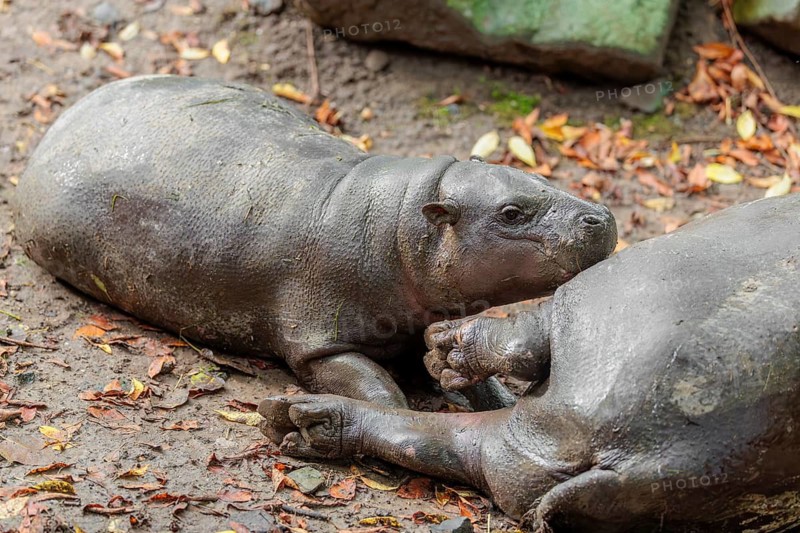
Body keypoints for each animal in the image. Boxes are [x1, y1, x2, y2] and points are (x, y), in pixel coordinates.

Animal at [14, 75, 616, 409]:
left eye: (537, 174)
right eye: (511, 212)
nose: (602, 216)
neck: (399, 228)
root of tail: (63, 120)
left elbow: (471, 378)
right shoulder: (316, 338)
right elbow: (378, 390)